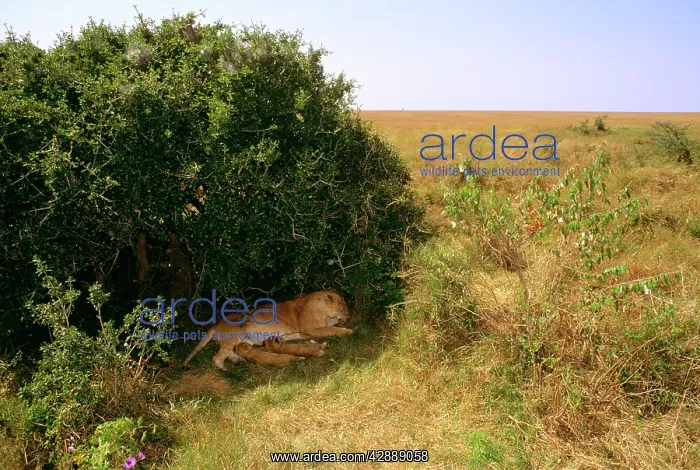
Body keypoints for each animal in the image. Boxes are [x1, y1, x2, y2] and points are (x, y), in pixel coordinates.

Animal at [182, 288, 352, 370]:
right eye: (343, 306)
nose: (348, 314)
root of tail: (216, 324)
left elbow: (329, 327)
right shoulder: (310, 329)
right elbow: (331, 330)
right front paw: (348, 330)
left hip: (242, 341)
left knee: (228, 352)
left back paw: (238, 360)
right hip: (236, 334)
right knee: (218, 356)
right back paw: (223, 368)